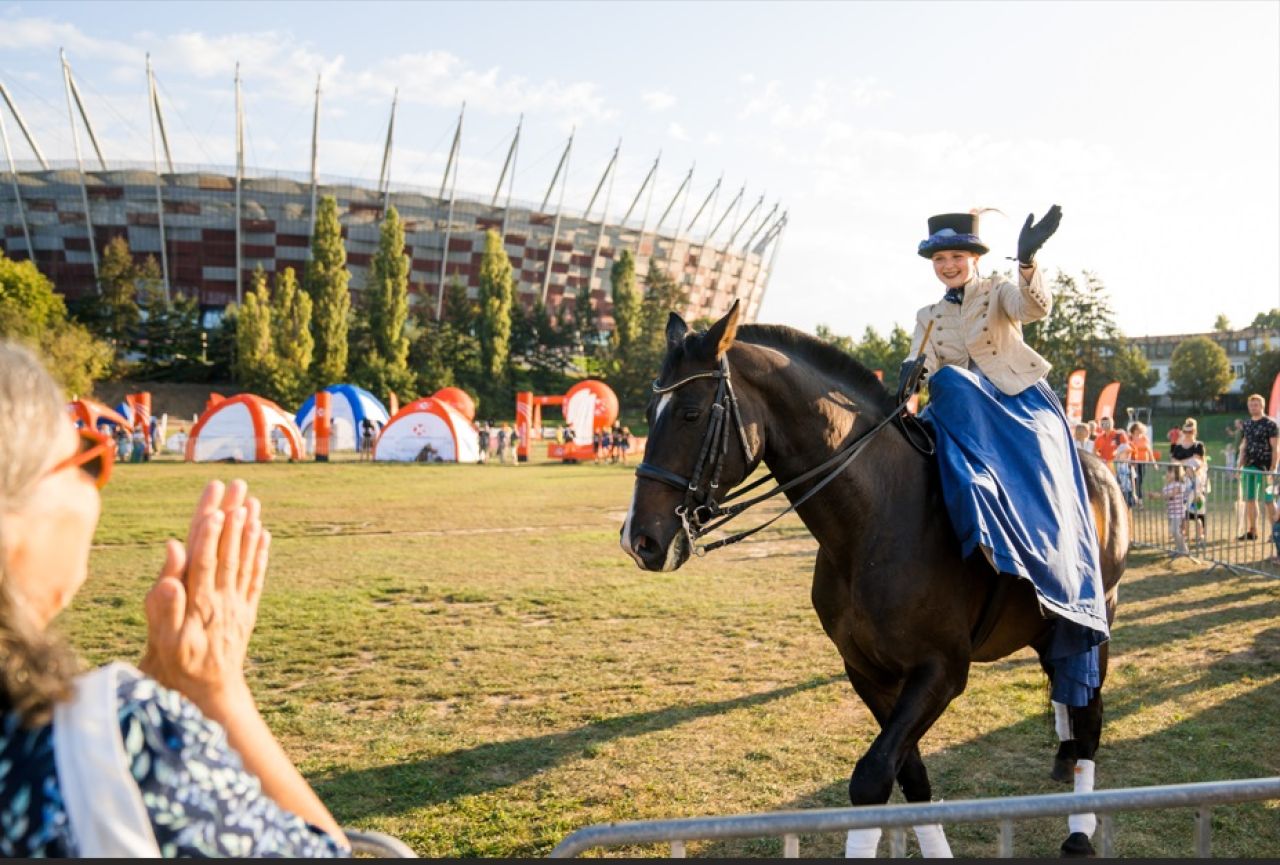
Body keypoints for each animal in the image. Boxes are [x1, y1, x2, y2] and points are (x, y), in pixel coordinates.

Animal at [622, 300, 1131, 854]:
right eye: (648, 415)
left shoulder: (941, 670)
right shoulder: (867, 670)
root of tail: (1103, 472)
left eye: (691, 413)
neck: (872, 520)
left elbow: (870, 778)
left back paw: (1079, 828)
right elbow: (908, 775)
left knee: (1089, 719)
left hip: (1095, 622)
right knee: (1067, 695)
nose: (639, 539)